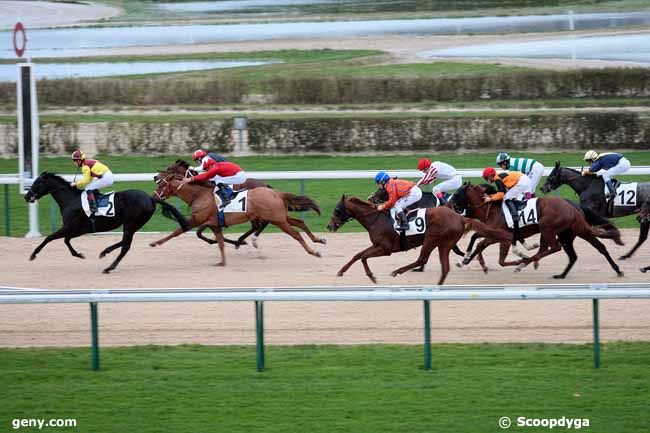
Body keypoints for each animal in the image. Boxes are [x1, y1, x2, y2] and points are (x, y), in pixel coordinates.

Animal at [151, 169, 324, 264]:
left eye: (161, 184)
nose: (153, 196)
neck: (199, 194)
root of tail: (276, 192)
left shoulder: (198, 220)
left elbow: (178, 231)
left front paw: (155, 243)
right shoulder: (212, 222)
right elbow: (210, 237)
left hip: (277, 220)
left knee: (295, 233)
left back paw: (313, 251)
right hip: (280, 217)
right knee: (299, 222)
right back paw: (318, 239)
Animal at [326, 195, 508, 284]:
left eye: (337, 209)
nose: (329, 226)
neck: (375, 219)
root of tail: (459, 217)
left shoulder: (385, 248)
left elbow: (363, 256)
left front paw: (371, 276)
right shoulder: (377, 245)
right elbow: (358, 255)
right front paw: (341, 271)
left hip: (431, 239)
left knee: (422, 259)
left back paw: (397, 271)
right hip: (444, 243)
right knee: (445, 265)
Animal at [450, 181, 624, 276]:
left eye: (457, 194)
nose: (449, 204)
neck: (492, 209)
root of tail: (572, 207)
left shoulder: (503, 236)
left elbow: (497, 257)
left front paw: (520, 258)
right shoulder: (494, 234)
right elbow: (478, 241)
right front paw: (466, 260)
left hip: (548, 228)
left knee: (554, 247)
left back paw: (525, 262)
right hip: (570, 231)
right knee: (593, 247)